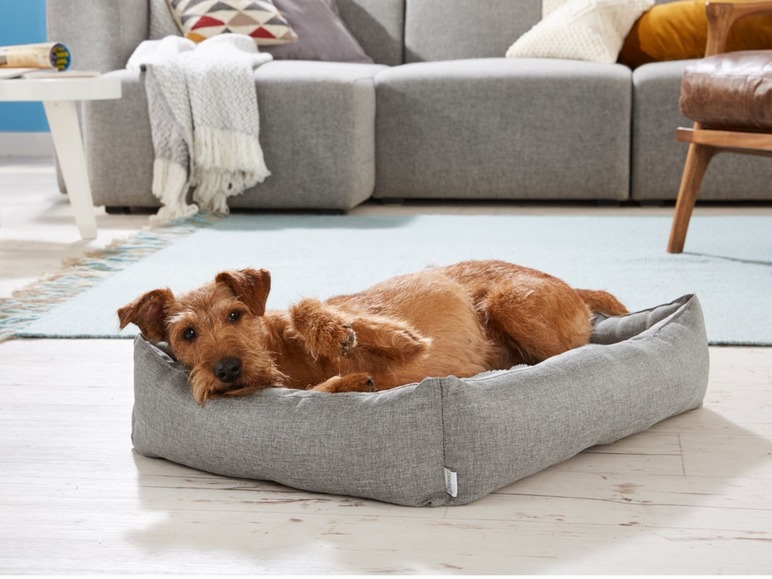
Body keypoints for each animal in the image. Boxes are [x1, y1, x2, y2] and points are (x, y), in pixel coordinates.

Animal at [118, 259, 627, 405]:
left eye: (235, 315)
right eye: (187, 334)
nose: (226, 369)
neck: (283, 356)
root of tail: (575, 288)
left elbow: (308, 309)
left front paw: (346, 334)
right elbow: (321, 389)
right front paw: (348, 381)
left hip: (509, 301)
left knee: (568, 352)